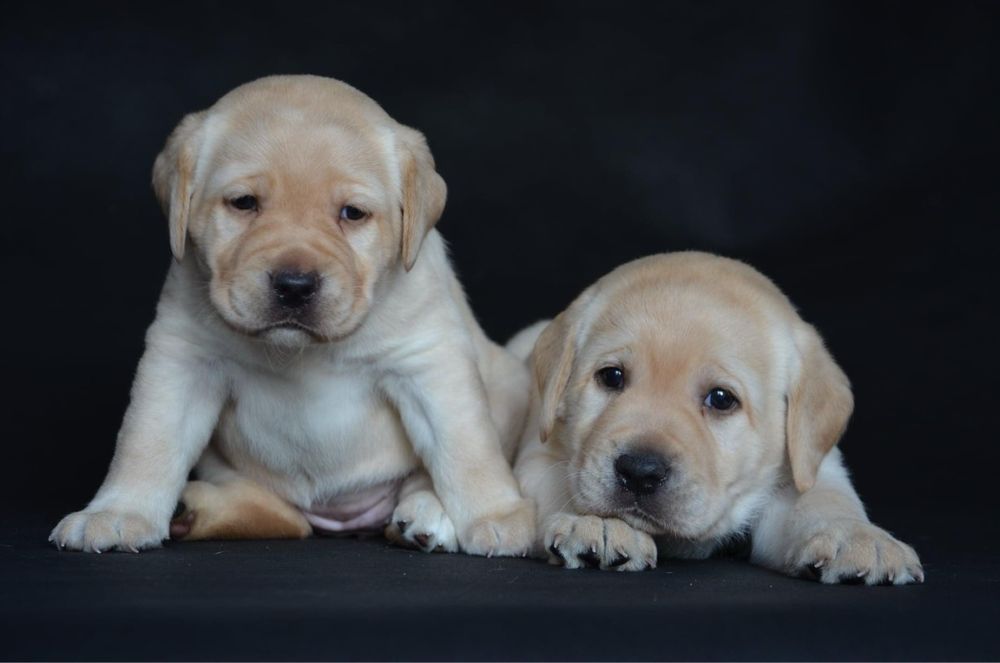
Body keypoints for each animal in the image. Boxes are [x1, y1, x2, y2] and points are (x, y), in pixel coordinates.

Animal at [48, 75, 532, 556]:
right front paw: (118, 513)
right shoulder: (181, 360)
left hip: (508, 384)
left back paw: (424, 514)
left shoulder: (430, 364)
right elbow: (146, 442)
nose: (295, 286)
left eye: (352, 213)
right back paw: (195, 510)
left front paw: (498, 516)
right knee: (278, 516)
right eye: (244, 203)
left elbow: (468, 448)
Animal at [512, 252, 924, 584]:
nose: (640, 471)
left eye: (721, 399)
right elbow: (560, 484)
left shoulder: (810, 468)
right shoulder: (538, 455)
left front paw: (858, 537)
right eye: (611, 377)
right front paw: (597, 521)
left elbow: (824, 499)